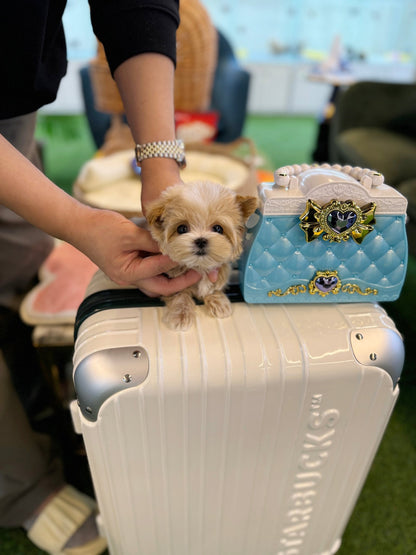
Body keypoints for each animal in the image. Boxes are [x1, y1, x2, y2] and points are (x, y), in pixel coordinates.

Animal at [146, 181, 256, 330]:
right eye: (182, 228)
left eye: (218, 228)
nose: (201, 240)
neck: (200, 266)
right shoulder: (171, 281)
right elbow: (179, 294)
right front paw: (181, 314)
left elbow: (213, 287)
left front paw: (218, 301)